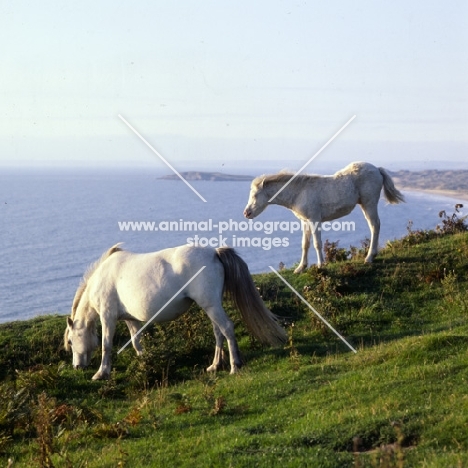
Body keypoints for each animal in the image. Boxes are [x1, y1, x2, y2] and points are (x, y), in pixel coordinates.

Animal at [64, 243, 288, 378]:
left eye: (70, 341)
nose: (77, 366)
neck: (102, 277)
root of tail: (214, 253)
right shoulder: (130, 319)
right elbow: (136, 342)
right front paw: (146, 362)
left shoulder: (108, 317)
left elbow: (106, 345)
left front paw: (101, 373)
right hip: (211, 306)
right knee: (218, 333)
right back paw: (215, 365)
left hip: (211, 305)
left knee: (227, 328)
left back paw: (234, 366)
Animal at [243, 161, 404, 272]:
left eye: (255, 195)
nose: (246, 213)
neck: (300, 192)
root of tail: (377, 169)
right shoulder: (305, 222)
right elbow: (305, 244)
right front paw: (301, 268)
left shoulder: (315, 220)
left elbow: (317, 243)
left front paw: (321, 265)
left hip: (369, 203)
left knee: (375, 225)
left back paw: (369, 257)